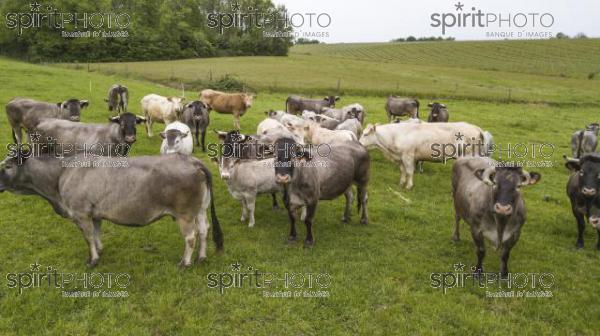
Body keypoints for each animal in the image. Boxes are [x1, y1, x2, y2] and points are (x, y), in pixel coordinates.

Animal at [0, 153, 224, 268]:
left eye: (8, 166)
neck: (61, 173)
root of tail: (192, 160)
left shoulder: (80, 213)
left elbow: (88, 237)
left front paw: (93, 260)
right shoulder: (95, 213)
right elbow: (97, 233)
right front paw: (100, 250)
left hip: (185, 214)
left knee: (191, 237)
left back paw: (185, 262)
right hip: (200, 209)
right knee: (204, 230)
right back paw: (202, 257)